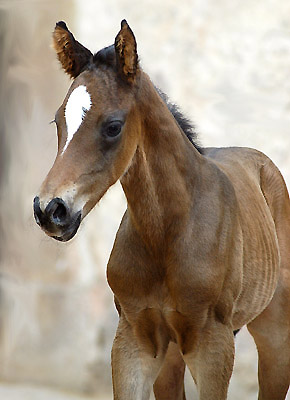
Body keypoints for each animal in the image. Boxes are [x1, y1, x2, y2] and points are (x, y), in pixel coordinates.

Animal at [33, 20, 290, 398]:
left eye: (113, 126)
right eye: (57, 123)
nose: (50, 209)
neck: (167, 232)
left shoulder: (214, 345)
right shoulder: (134, 338)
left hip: (274, 335)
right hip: (172, 353)